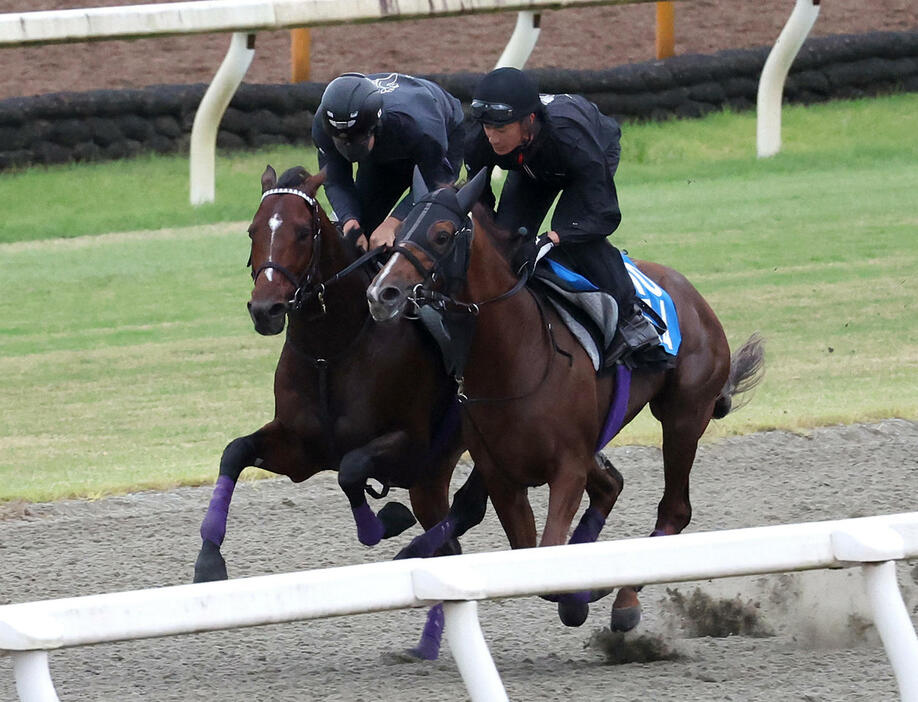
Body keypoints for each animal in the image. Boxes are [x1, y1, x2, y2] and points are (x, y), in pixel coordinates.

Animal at [194, 168, 468, 664]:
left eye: (304, 232)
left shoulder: (411, 445)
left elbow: (351, 469)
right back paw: (427, 644)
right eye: (253, 231)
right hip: (432, 481)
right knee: (450, 546)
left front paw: (387, 519)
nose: (265, 310)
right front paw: (208, 561)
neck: (331, 349)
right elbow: (235, 452)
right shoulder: (300, 448)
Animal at [362, 173, 764, 636]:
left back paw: (625, 600)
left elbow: (552, 557)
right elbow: (534, 556)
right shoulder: (502, 475)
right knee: (611, 485)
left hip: (682, 417)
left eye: (442, 235)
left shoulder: (567, 469)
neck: (517, 355)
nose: (381, 293)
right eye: (399, 233)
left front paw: (590, 591)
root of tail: (693, 296)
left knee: (674, 510)